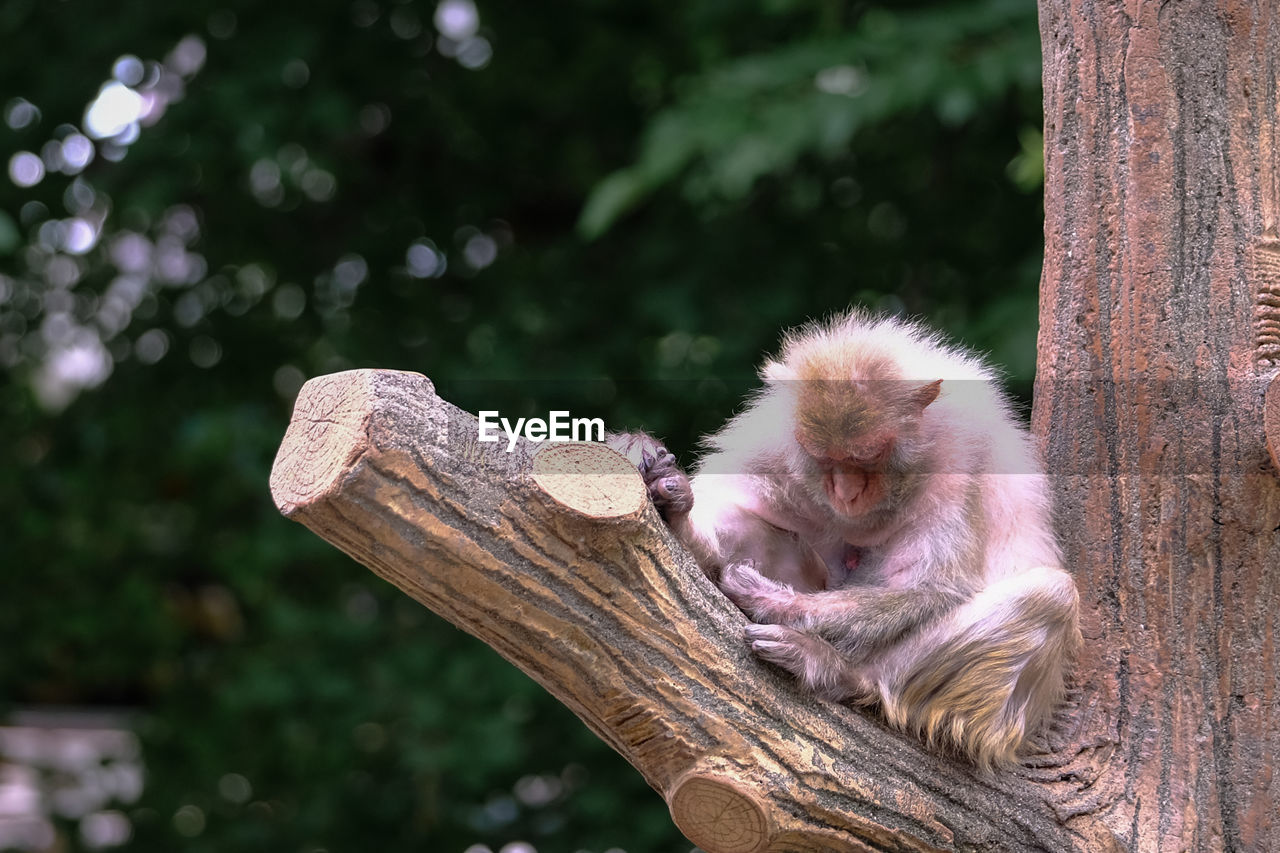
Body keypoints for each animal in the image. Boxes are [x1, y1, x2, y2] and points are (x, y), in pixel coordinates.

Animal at [609, 308, 1080, 768]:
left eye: (867, 457)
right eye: (823, 457)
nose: (846, 492)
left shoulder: (957, 458)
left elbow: (931, 587)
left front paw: (778, 604)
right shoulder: (772, 440)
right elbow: (729, 501)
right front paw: (659, 482)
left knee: (1051, 595)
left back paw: (839, 671)